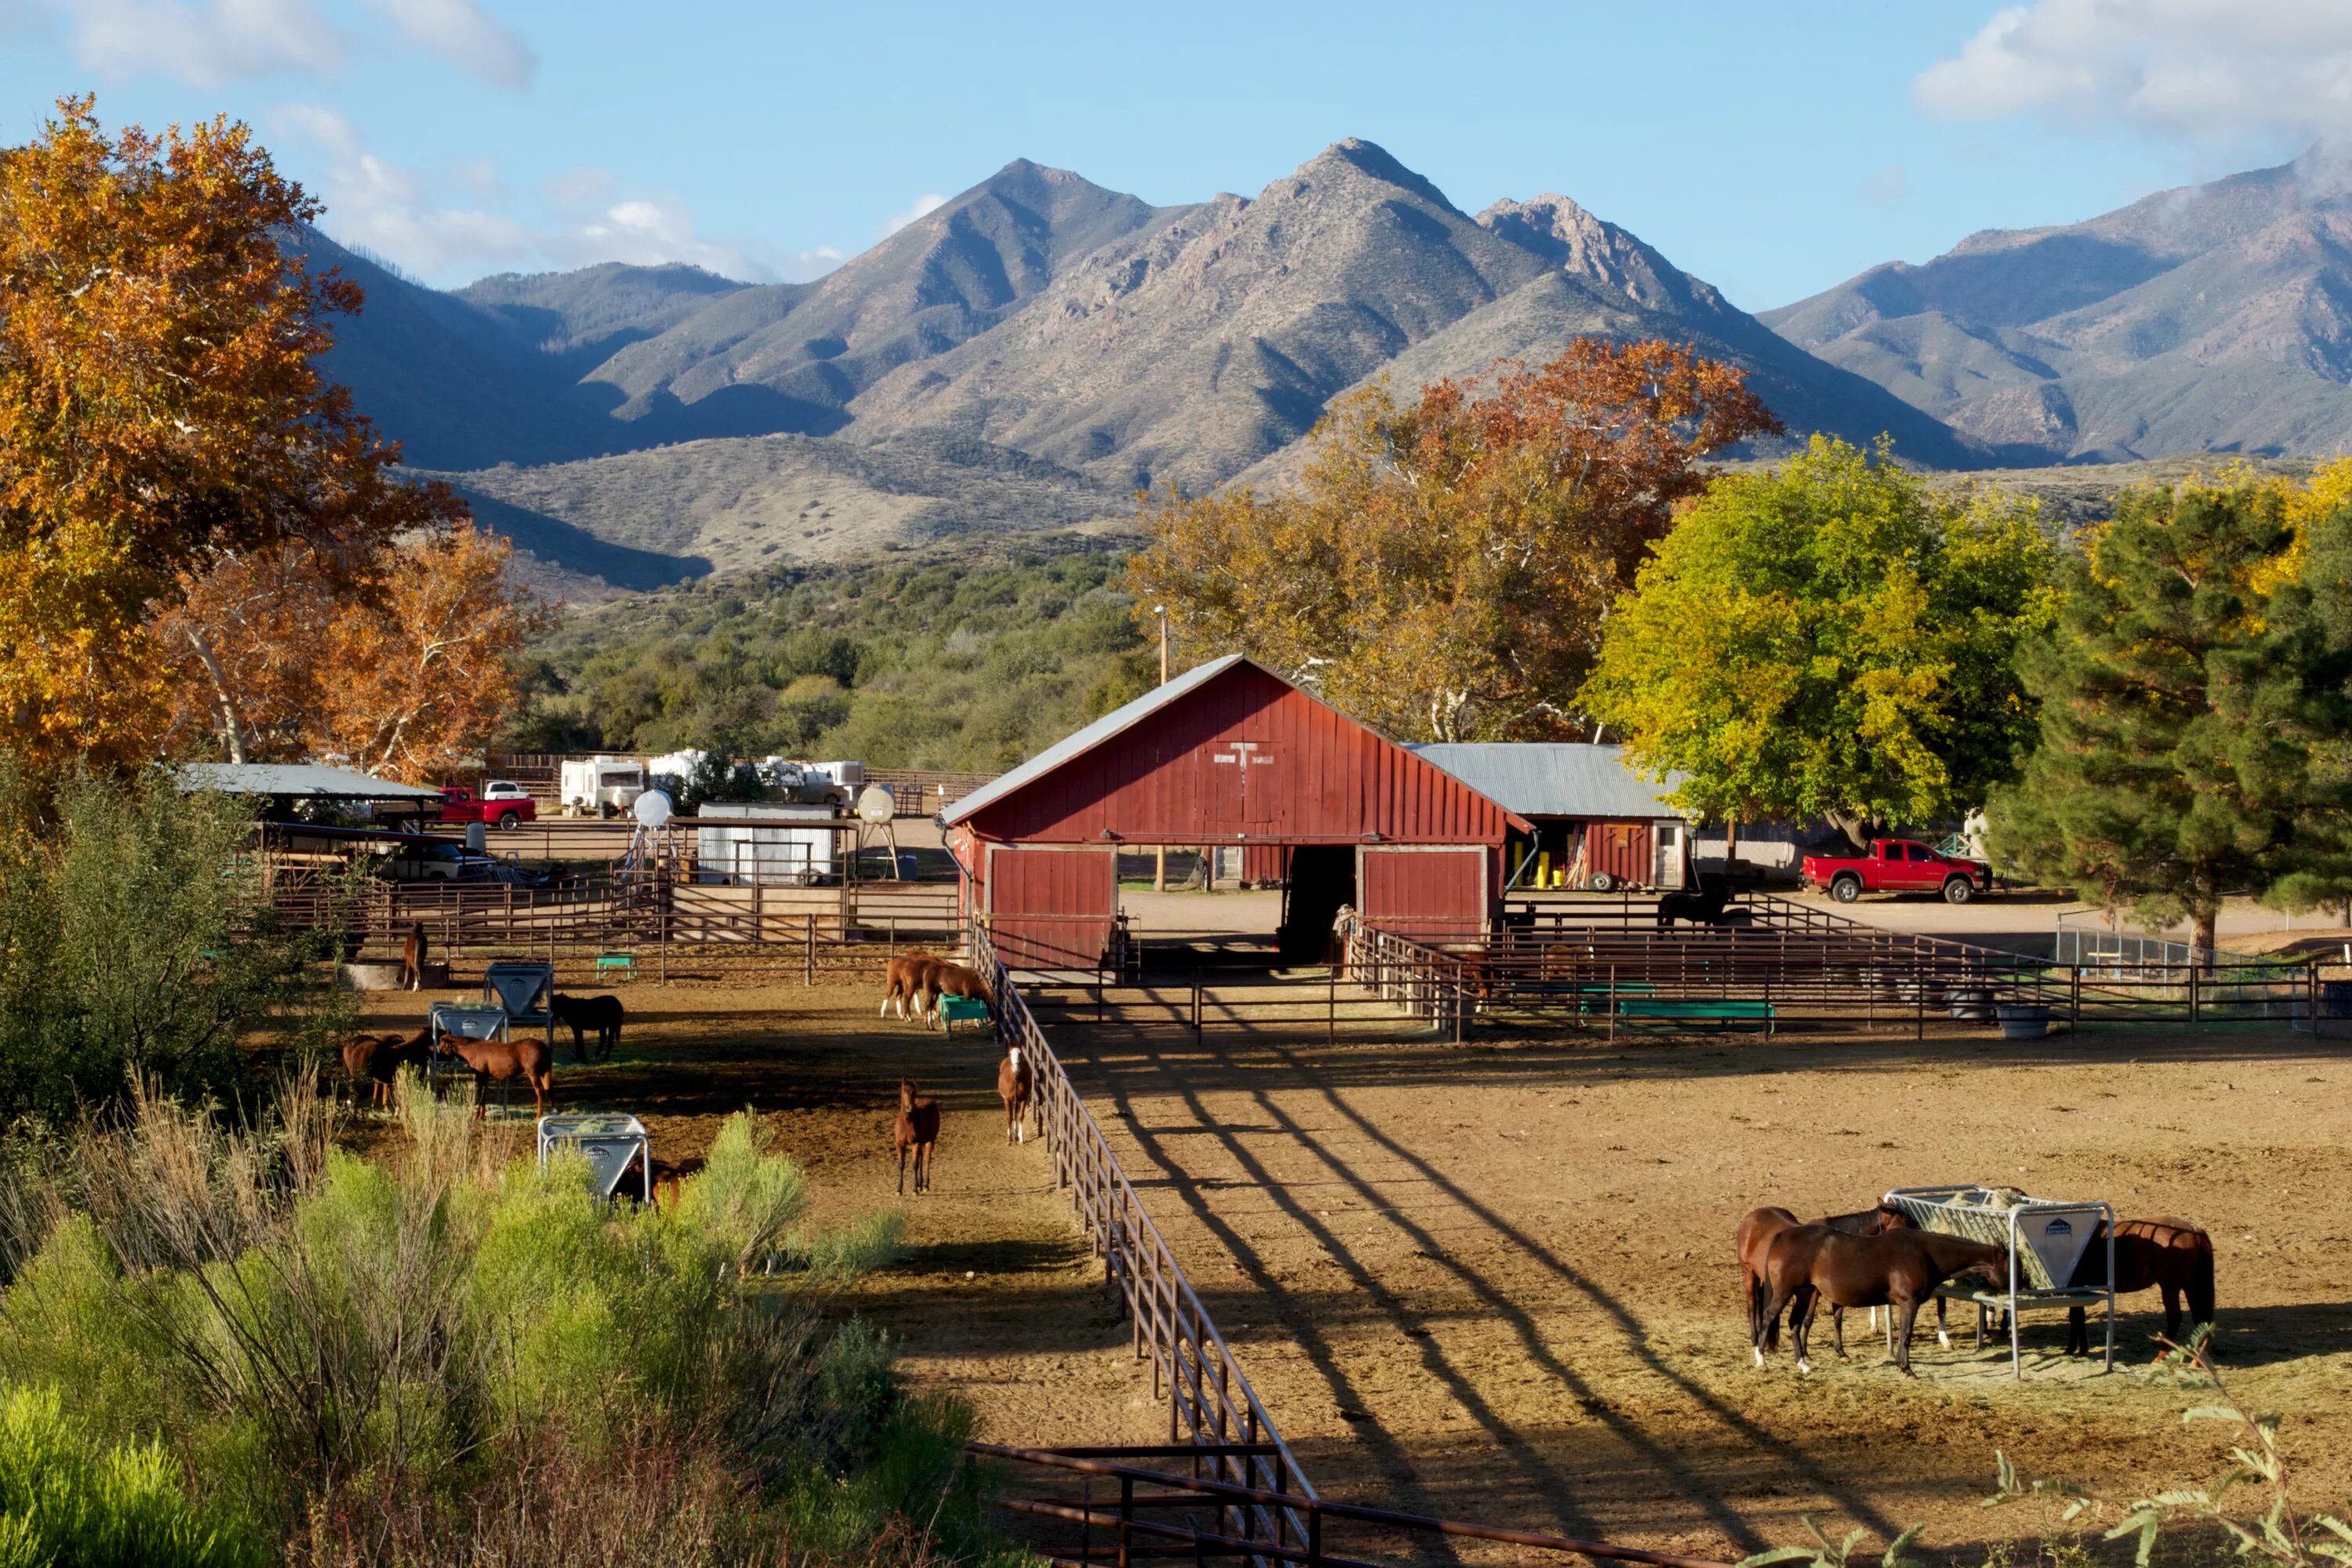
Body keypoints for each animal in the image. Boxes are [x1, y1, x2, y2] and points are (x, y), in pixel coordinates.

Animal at [437, 1034, 555, 1123]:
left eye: (442, 1047)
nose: (440, 1062)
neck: (472, 1050)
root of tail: (543, 1047)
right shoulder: (485, 1077)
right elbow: (484, 1095)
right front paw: (481, 1116)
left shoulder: (481, 1076)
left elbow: (481, 1095)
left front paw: (477, 1117)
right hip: (545, 1072)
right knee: (549, 1089)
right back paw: (553, 1113)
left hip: (533, 1073)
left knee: (540, 1091)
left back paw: (538, 1115)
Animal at [894, 1086, 941, 1194]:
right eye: (903, 1092)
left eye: (914, 1093)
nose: (910, 1108)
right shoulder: (901, 1143)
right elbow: (902, 1164)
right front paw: (899, 1190)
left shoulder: (916, 1143)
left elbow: (915, 1164)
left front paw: (915, 1189)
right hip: (922, 1142)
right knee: (921, 1158)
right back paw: (920, 1184)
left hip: (930, 1141)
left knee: (927, 1159)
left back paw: (926, 1185)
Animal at [1769, 1222, 2004, 1373]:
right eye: (2011, 1262)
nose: (2013, 1287)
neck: (1925, 1253)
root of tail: (1781, 1237)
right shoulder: (1910, 1303)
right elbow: (1906, 1334)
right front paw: (1906, 1368)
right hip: (1786, 1293)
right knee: (1769, 1317)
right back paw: (1763, 1360)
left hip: (1804, 1293)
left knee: (1795, 1324)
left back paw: (1803, 1364)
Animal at [2070, 1222, 2211, 1354]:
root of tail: (2193, 1230)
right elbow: (2078, 1316)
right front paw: (2080, 1349)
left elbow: (2076, 1317)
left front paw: (2073, 1350)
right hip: (2190, 1286)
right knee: (2199, 1318)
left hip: (2170, 1288)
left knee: (2175, 1318)